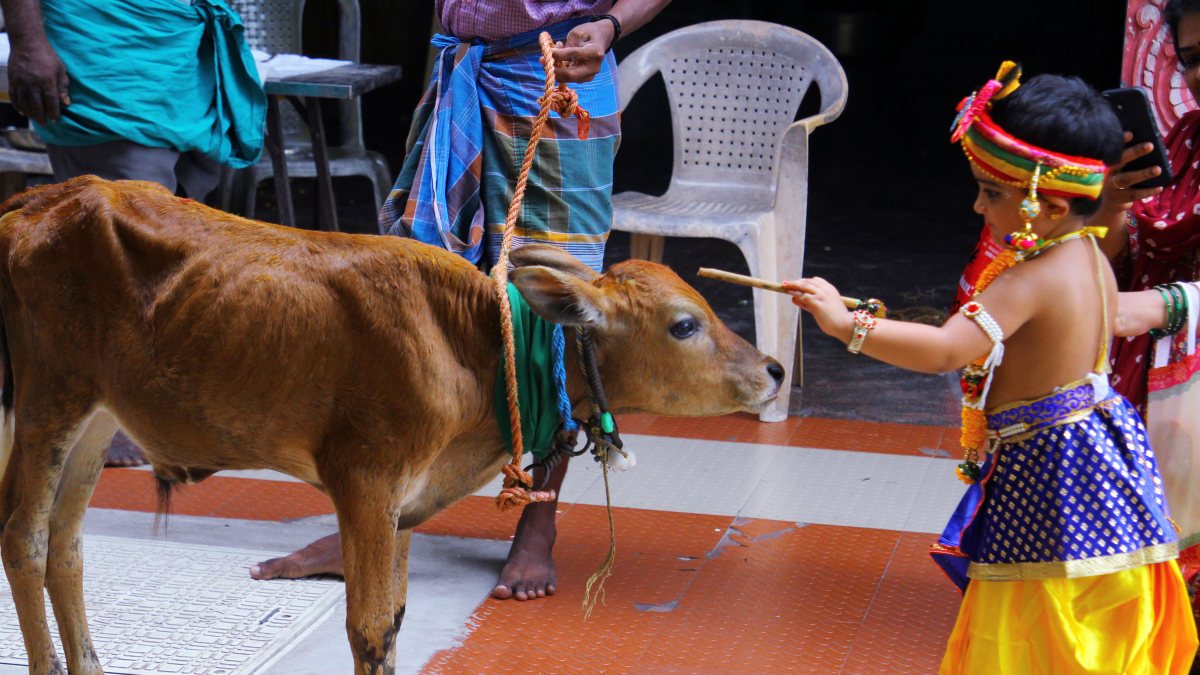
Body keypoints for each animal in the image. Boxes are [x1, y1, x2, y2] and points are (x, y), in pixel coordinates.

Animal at [0, 176, 783, 675]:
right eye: (684, 324)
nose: (774, 371)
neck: (471, 344)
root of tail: (40, 198)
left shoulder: (406, 501)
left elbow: (398, 620)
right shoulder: (366, 480)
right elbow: (370, 629)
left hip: (97, 417)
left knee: (67, 548)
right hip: (45, 399)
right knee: (24, 540)